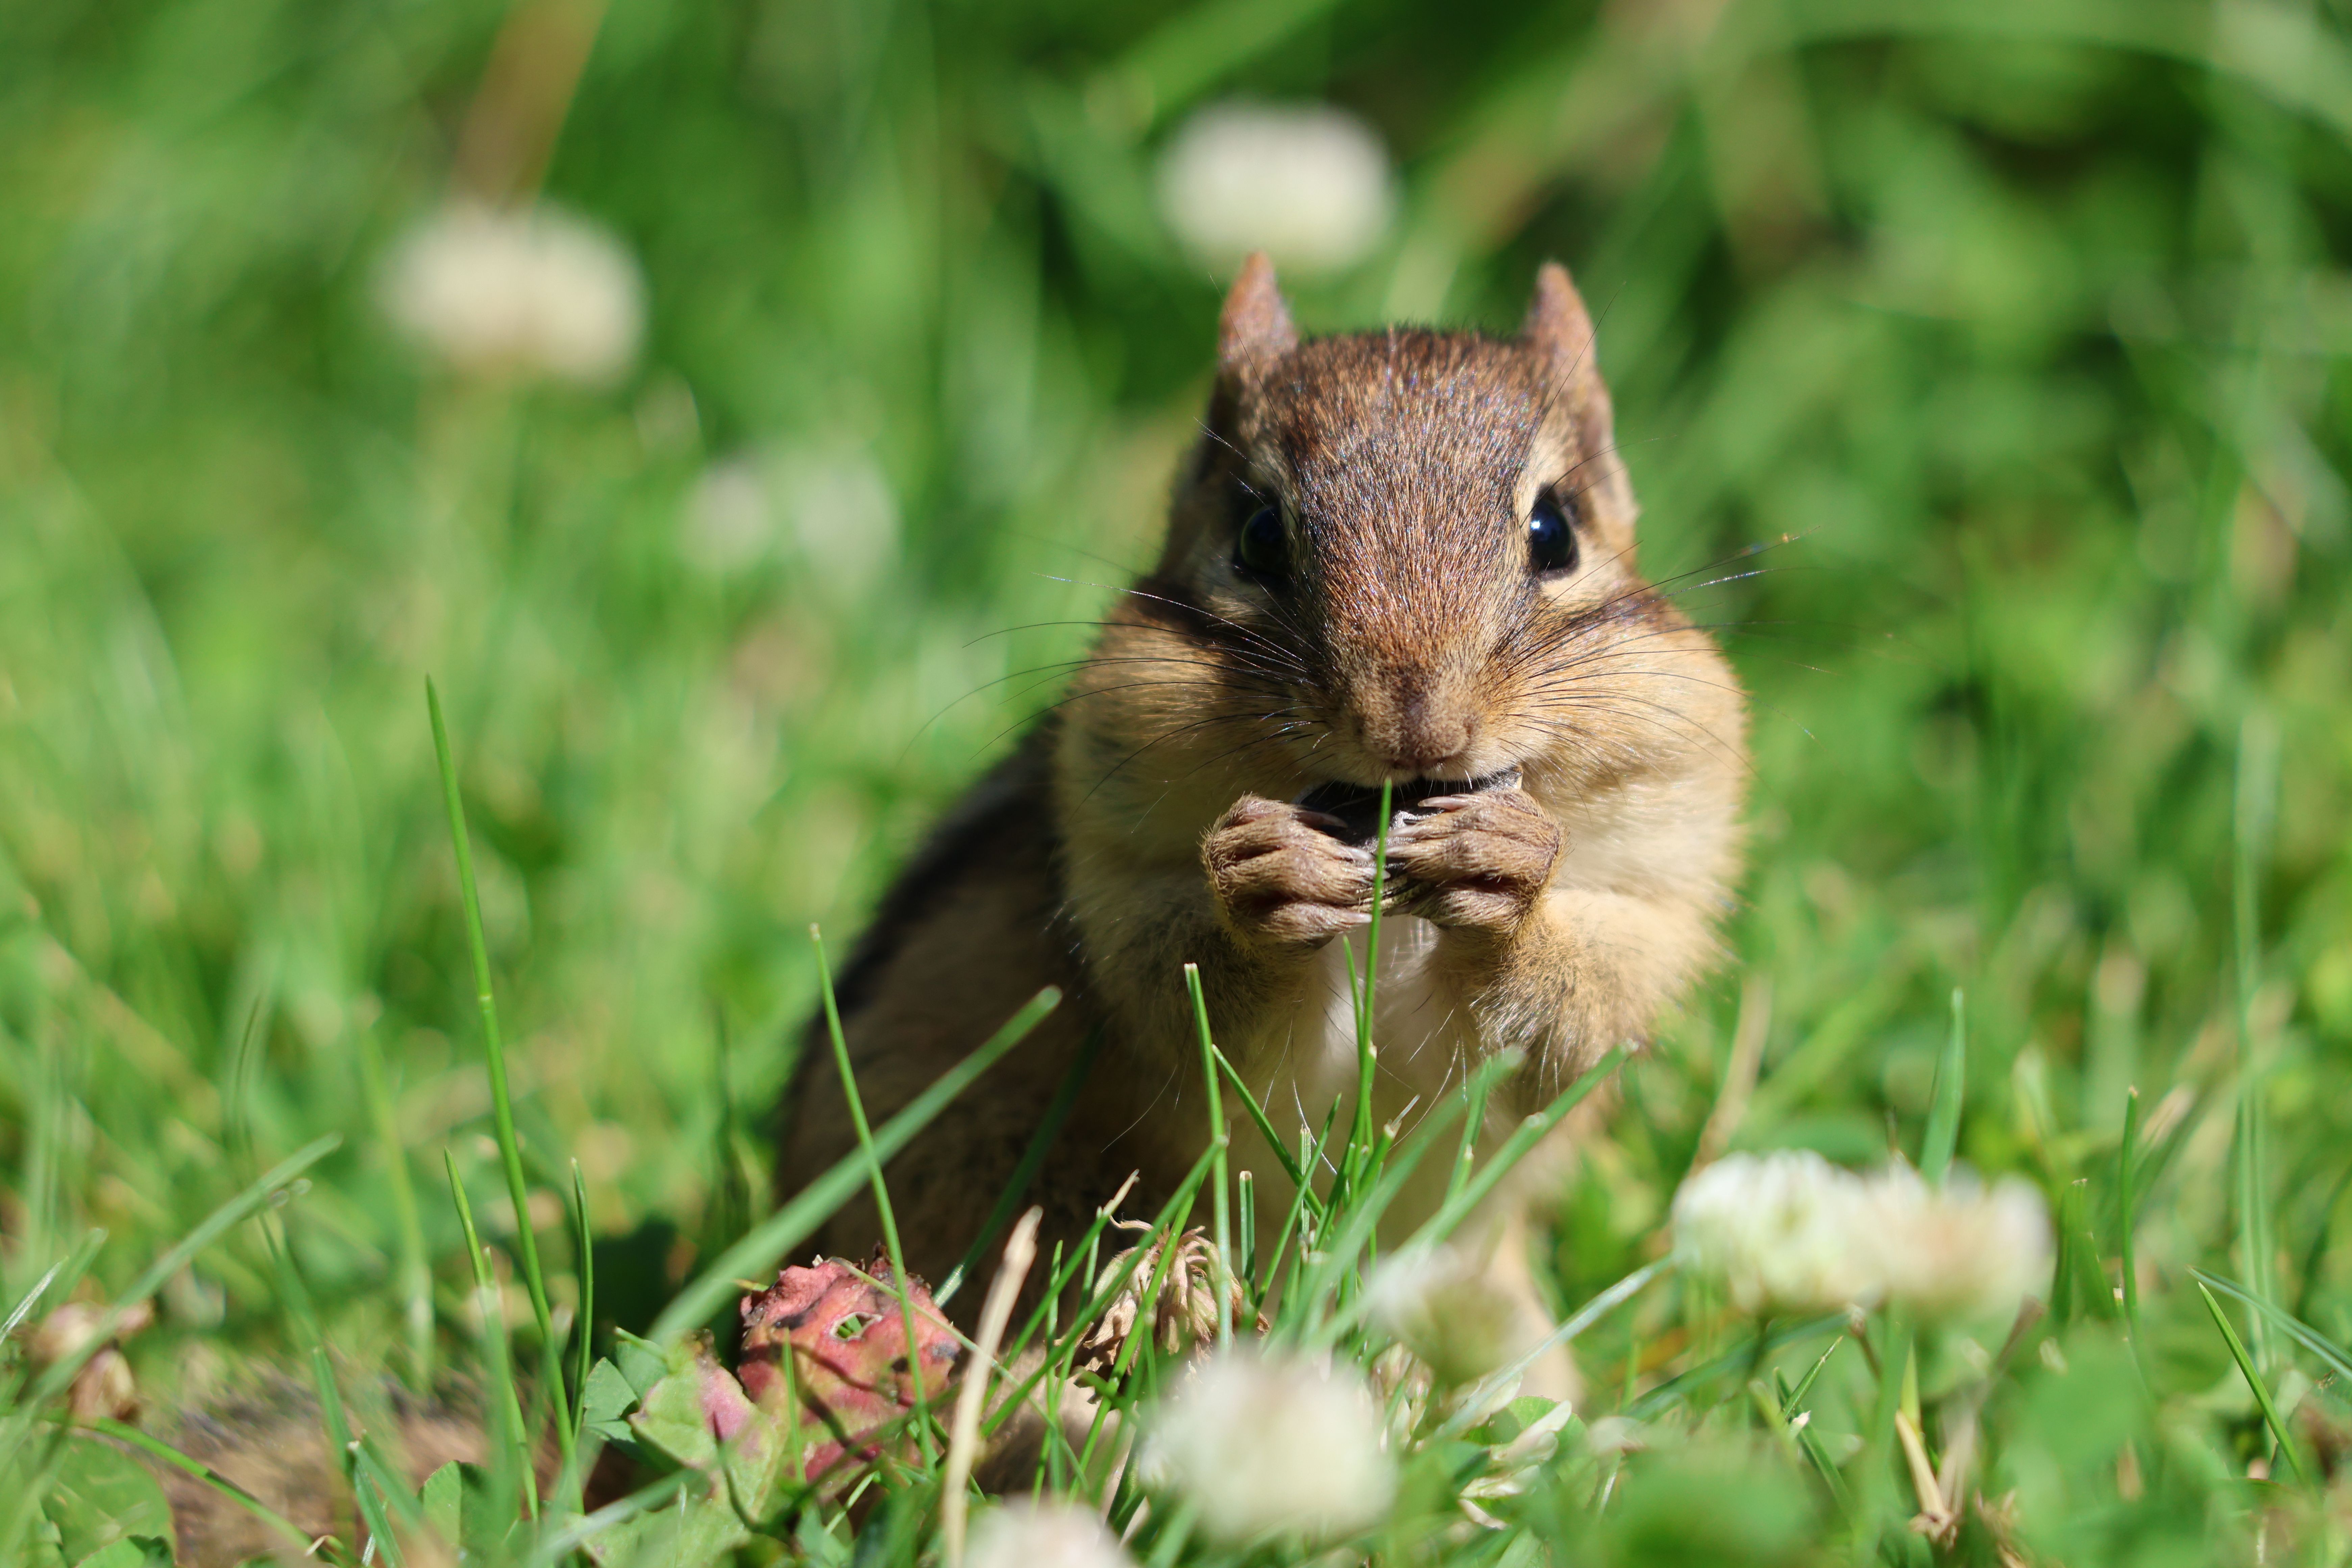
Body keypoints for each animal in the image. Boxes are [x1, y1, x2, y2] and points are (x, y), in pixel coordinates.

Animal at [781, 254, 1747, 1359]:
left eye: (1556, 528)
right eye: (1256, 533)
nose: (1415, 729)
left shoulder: (1655, 895)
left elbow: (1570, 1016)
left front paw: (1506, 871)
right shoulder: (1117, 878)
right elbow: (1210, 1019)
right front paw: (1266, 883)